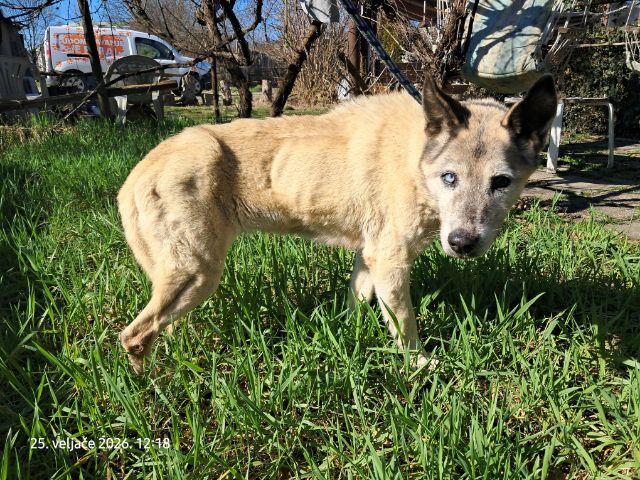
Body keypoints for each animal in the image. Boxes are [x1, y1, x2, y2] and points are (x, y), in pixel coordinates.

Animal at [118, 75, 557, 373]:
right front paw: (421, 366)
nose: (462, 243)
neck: (417, 158)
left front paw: (346, 337)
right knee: (133, 337)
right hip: (197, 273)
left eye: (501, 182)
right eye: (450, 178)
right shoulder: (391, 261)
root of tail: (137, 173)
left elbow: (356, 304)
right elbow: (406, 326)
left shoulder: (370, 256)